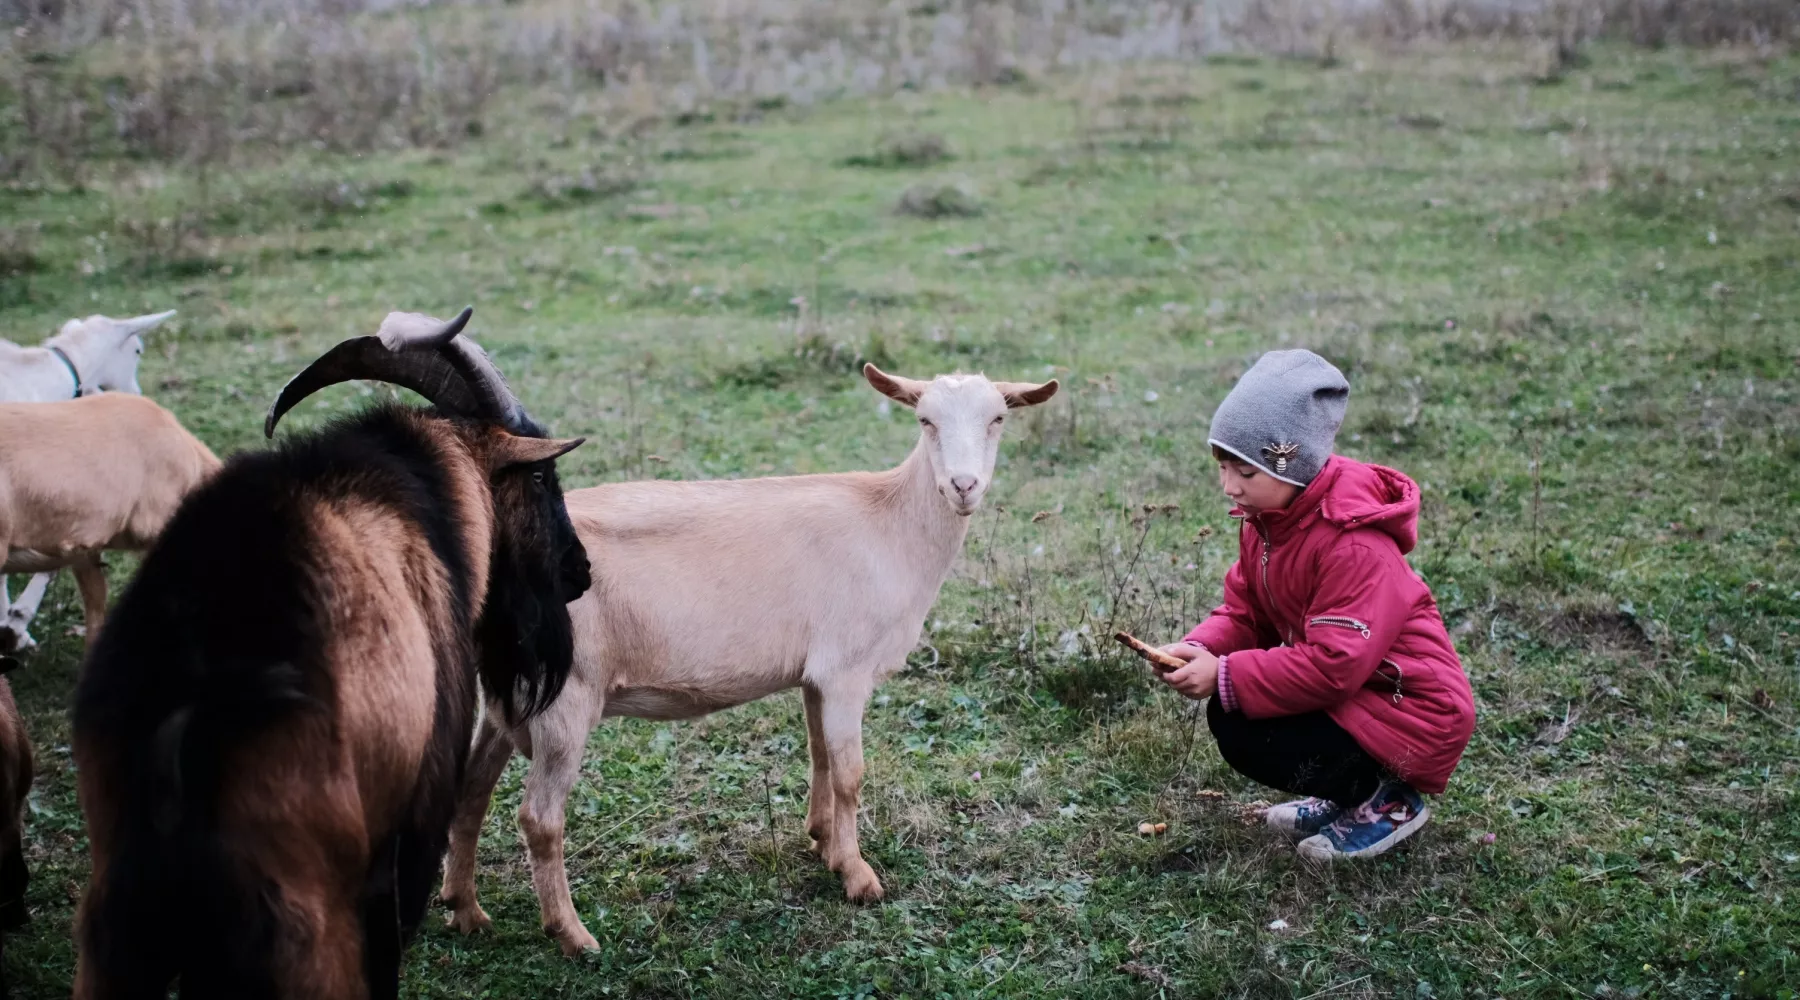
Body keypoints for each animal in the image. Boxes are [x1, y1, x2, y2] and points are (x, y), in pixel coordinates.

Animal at [441, 363, 1051, 956]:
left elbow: (820, 756)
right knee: (539, 818)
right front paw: (859, 877)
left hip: (508, 693)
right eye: (925, 420)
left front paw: (824, 842)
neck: (890, 524)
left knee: (471, 790)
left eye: (998, 418)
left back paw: (464, 910)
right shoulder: (846, 669)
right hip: (564, 698)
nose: (964, 485)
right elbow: (850, 773)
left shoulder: (816, 674)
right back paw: (571, 934)